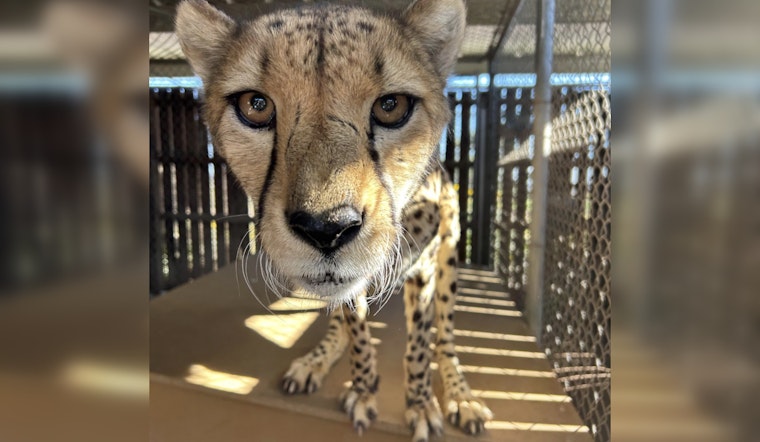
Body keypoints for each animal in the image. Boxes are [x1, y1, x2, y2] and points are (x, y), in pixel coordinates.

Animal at [175, 1, 493, 440]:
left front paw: (419, 403)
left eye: (391, 106)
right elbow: (356, 331)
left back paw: (460, 393)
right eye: (255, 105)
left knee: (444, 335)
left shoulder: (426, 267)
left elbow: (418, 344)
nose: (326, 228)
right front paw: (363, 389)